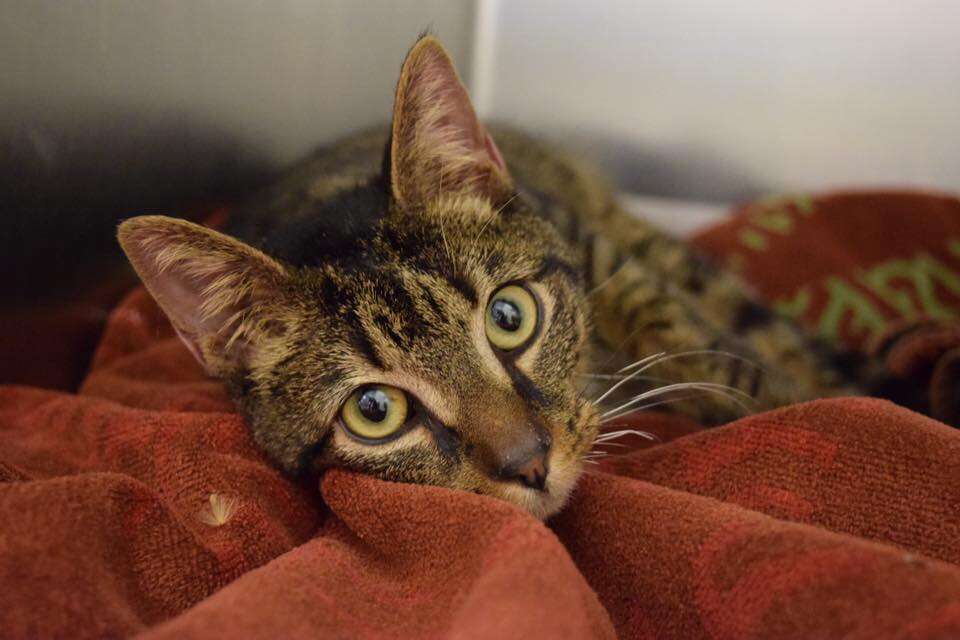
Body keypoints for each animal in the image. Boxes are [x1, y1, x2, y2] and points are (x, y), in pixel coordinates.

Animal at [116, 33, 868, 520]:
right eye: (375, 411)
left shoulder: (600, 251)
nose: (529, 464)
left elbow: (715, 352)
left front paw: (804, 404)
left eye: (510, 317)